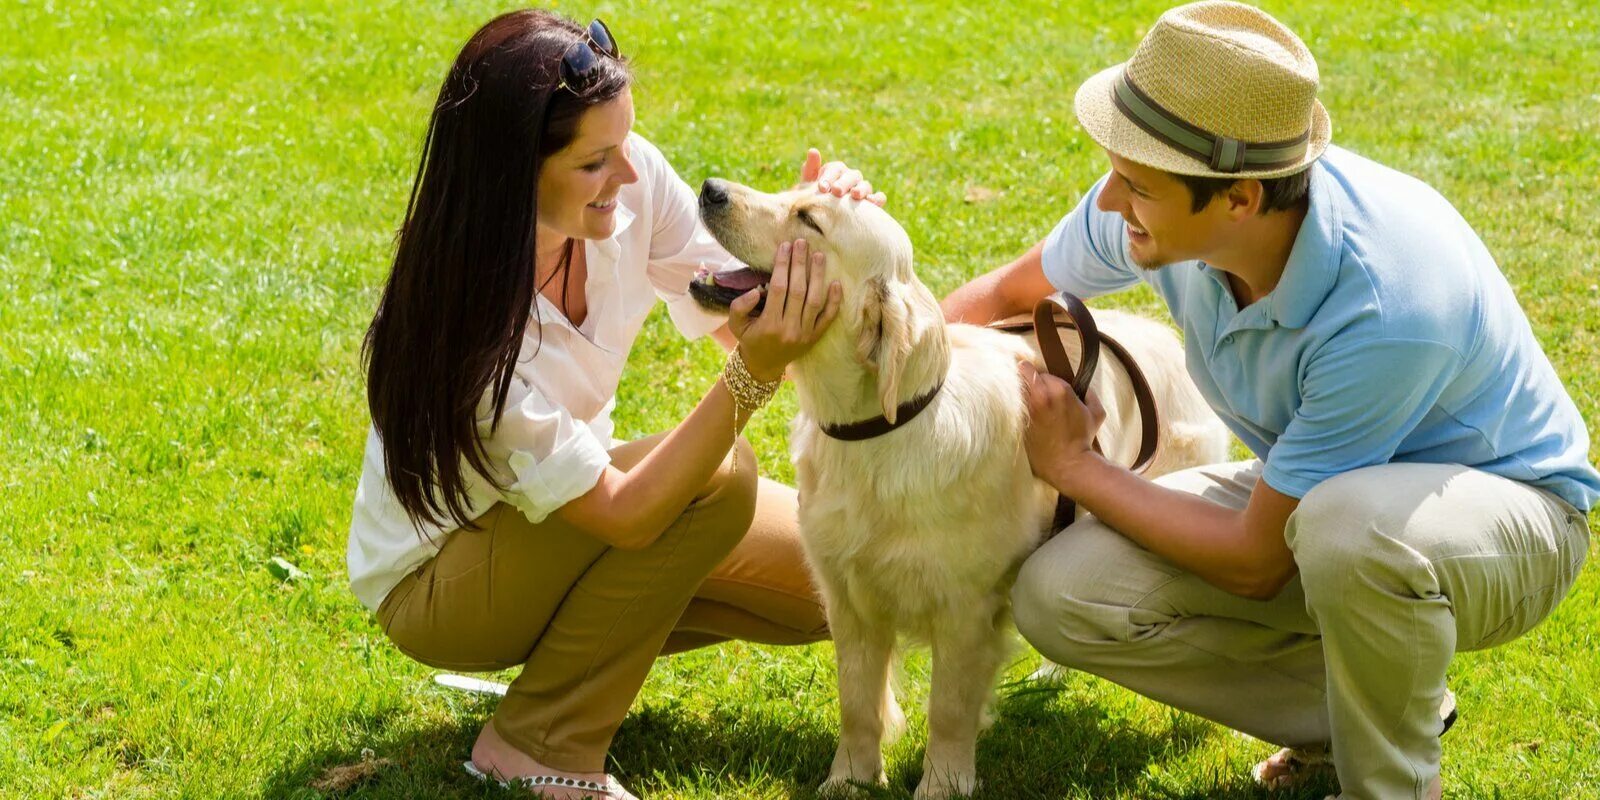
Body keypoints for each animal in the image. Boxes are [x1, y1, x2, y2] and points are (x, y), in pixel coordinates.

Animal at [688, 178, 1222, 796]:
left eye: (809, 218)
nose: (710, 188)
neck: (884, 431)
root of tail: (1161, 333)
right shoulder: (847, 599)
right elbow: (857, 703)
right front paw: (849, 780)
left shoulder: (965, 609)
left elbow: (947, 708)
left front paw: (943, 783)